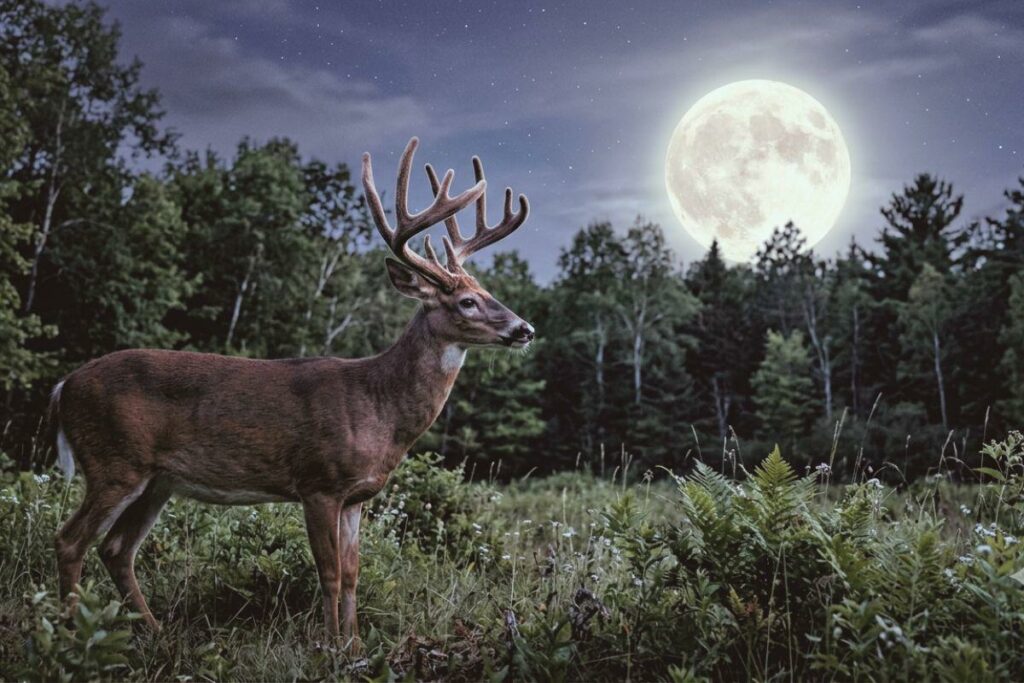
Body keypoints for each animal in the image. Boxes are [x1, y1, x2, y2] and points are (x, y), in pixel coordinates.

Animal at [48, 136, 534, 651]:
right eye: (466, 301)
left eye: (488, 291)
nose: (525, 328)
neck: (378, 407)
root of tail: (63, 386)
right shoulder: (317, 482)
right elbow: (330, 573)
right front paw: (330, 647)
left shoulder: (358, 495)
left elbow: (355, 572)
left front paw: (354, 645)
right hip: (114, 462)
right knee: (70, 540)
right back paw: (70, 636)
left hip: (157, 480)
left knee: (116, 548)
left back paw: (154, 631)